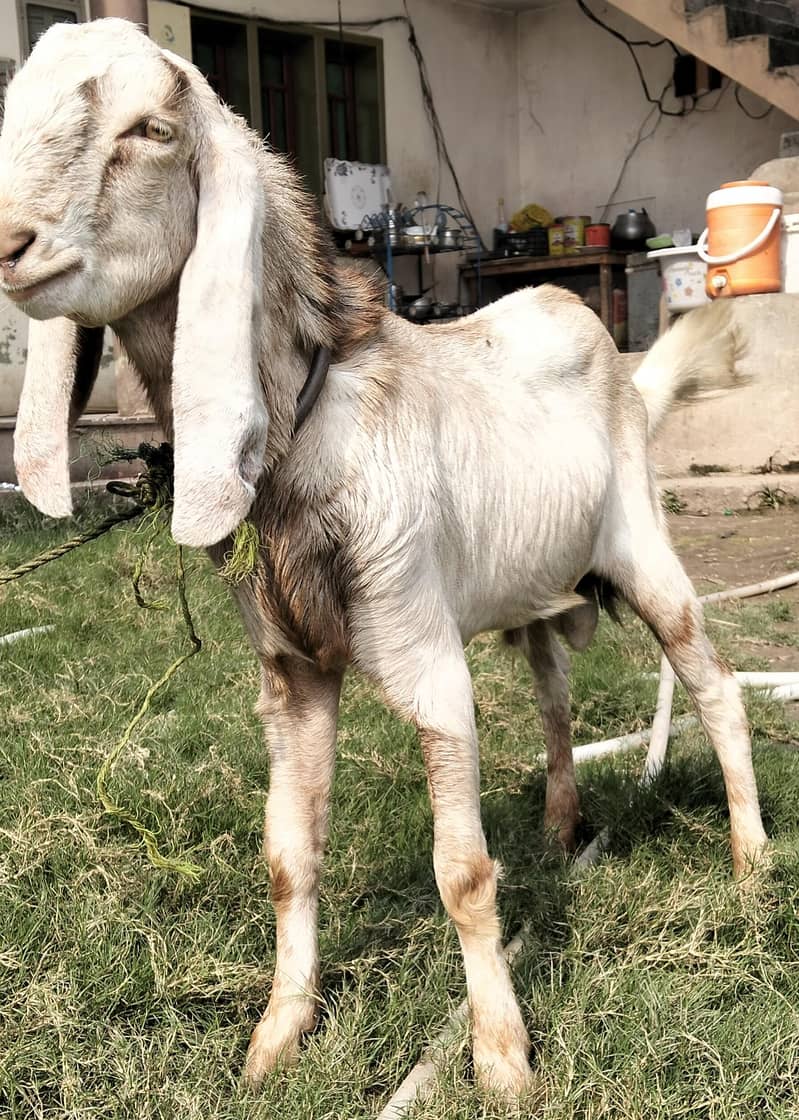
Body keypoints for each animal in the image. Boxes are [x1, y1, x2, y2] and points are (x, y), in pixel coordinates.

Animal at [0, 19, 766, 1098]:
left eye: (150, 129)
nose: (9, 246)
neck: (311, 427)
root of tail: (624, 366)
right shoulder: (290, 672)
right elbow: (289, 855)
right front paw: (276, 1037)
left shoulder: (424, 653)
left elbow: (461, 871)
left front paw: (500, 1057)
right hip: (531, 591)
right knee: (553, 694)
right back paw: (562, 826)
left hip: (644, 547)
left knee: (714, 684)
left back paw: (749, 864)